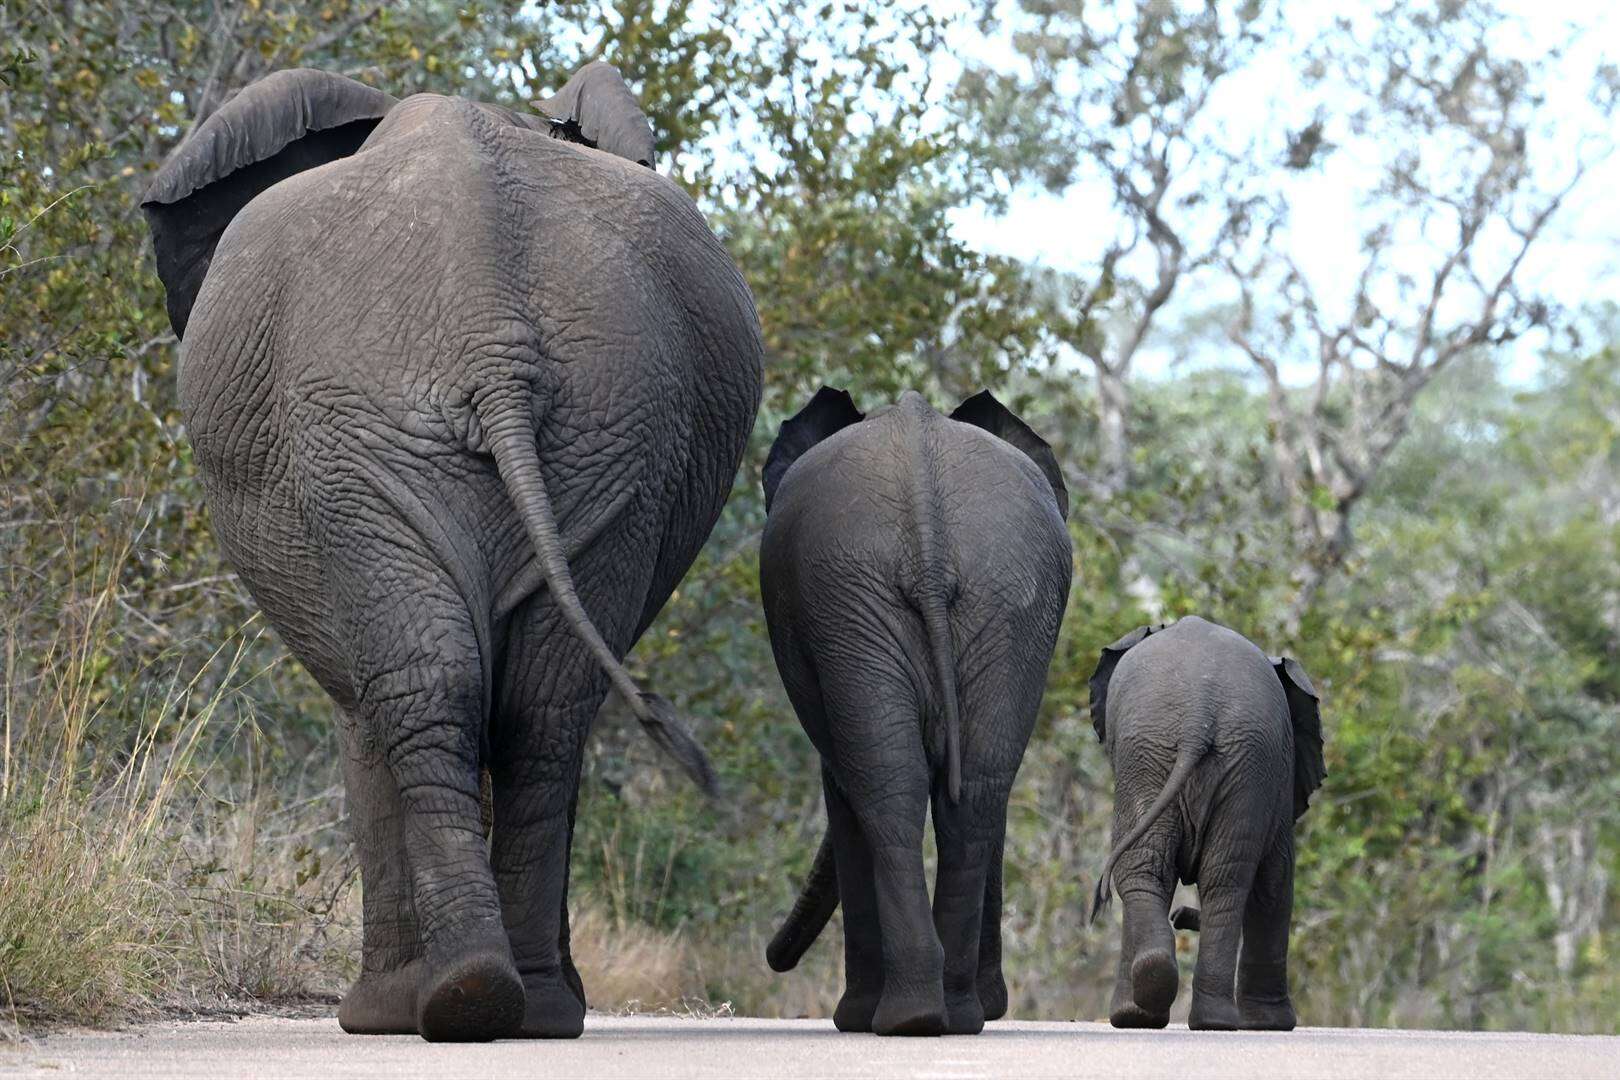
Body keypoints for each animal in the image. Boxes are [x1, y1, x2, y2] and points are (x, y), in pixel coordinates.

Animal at [142, 65, 761, 1036]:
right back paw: (517, 1004)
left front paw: (381, 1011)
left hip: (359, 436)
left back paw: (427, 1004)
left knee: (424, 689)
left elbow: (362, 718)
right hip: (608, 431)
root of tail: (489, 323)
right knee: (543, 709)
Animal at [758, 388, 1075, 1036]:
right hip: (995, 602)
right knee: (973, 791)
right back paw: (951, 1015)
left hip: (861, 596)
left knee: (886, 790)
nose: (773, 958)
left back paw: (898, 1017)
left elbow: (842, 789)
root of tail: (926, 539)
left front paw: (857, 1016)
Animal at [1088, 615, 1328, 1029]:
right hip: (1184, 758)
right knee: (1209, 878)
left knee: (1183, 874)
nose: (1180, 916)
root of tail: (1199, 714)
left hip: (1210, 760)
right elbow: (1275, 885)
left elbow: (1273, 884)